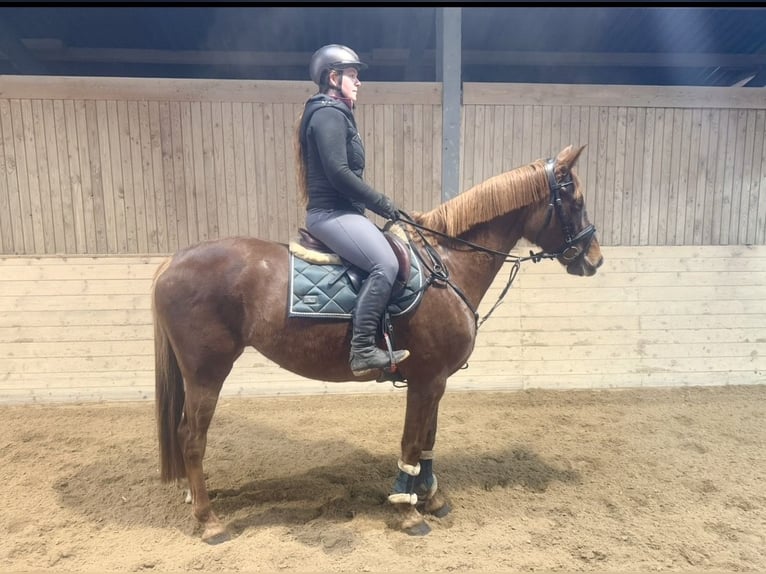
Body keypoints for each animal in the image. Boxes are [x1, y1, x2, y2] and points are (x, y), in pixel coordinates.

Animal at [152, 144, 603, 543]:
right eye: (577, 201)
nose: (595, 260)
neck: (447, 265)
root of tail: (173, 260)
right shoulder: (425, 380)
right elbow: (412, 442)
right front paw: (407, 511)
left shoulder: (437, 381)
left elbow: (429, 441)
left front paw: (432, 499)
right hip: (207, 372)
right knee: (192, 437)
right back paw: (210, 522)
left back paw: (197, 497)